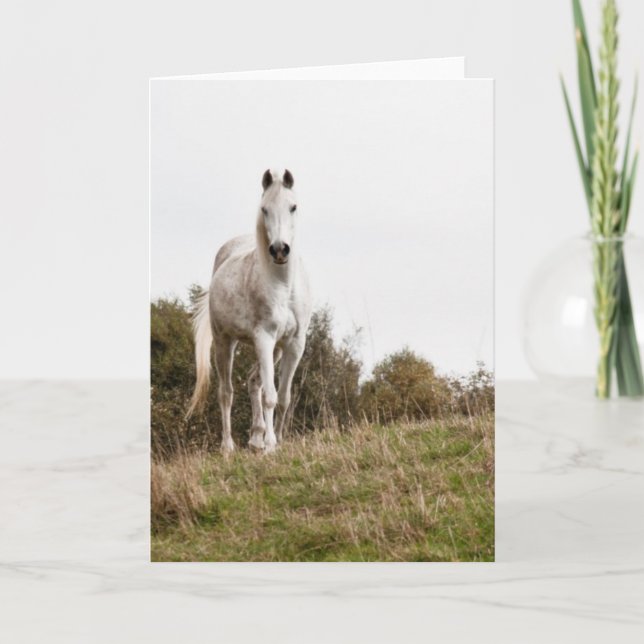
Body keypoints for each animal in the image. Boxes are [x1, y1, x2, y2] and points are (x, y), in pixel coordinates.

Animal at [186, 169, 312, 453]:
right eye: (264, 209)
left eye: (293, 207)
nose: (279, 250)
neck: (283, 286)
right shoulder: (264, 338)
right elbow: (270, 396)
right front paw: (271, 445)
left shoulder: (294, 343)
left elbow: (284, 397)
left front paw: (279, 439)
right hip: (225, 342)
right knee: (226, 392)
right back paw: (228, 447)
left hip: (273, 350)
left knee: (253, 380)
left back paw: (255, 438)